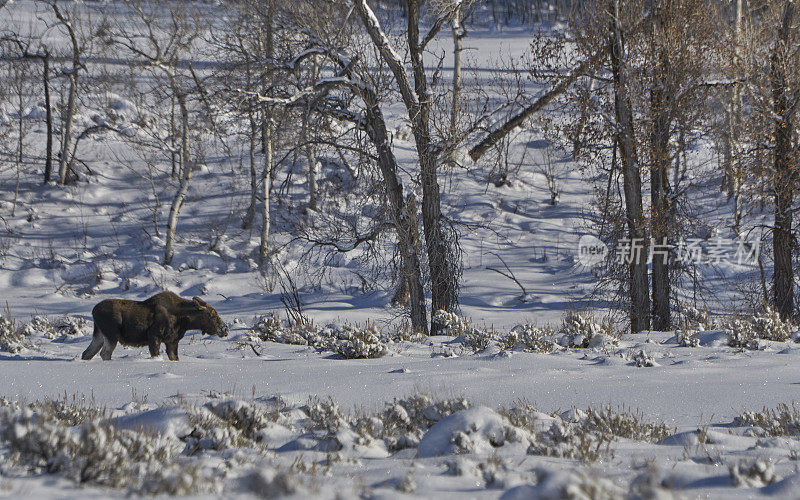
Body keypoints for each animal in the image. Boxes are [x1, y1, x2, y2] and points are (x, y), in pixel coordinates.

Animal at [81, 292, 228, 362]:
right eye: (211, 315)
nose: (225, 329)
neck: (184, 320)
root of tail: (93, 311)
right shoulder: (154, 336)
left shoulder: (172, 341)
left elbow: (174, 357)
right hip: (111, 334)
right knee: (104, 353)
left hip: (99, 334)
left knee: (87, 353)